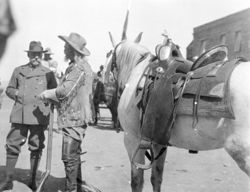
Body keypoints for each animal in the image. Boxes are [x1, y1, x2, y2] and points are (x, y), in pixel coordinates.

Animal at [106, 36, 250, 192]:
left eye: (109, 54)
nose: (105, 79)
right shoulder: (157, 141)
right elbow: (156, 178)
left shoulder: (132, 139)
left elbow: (137, 182)